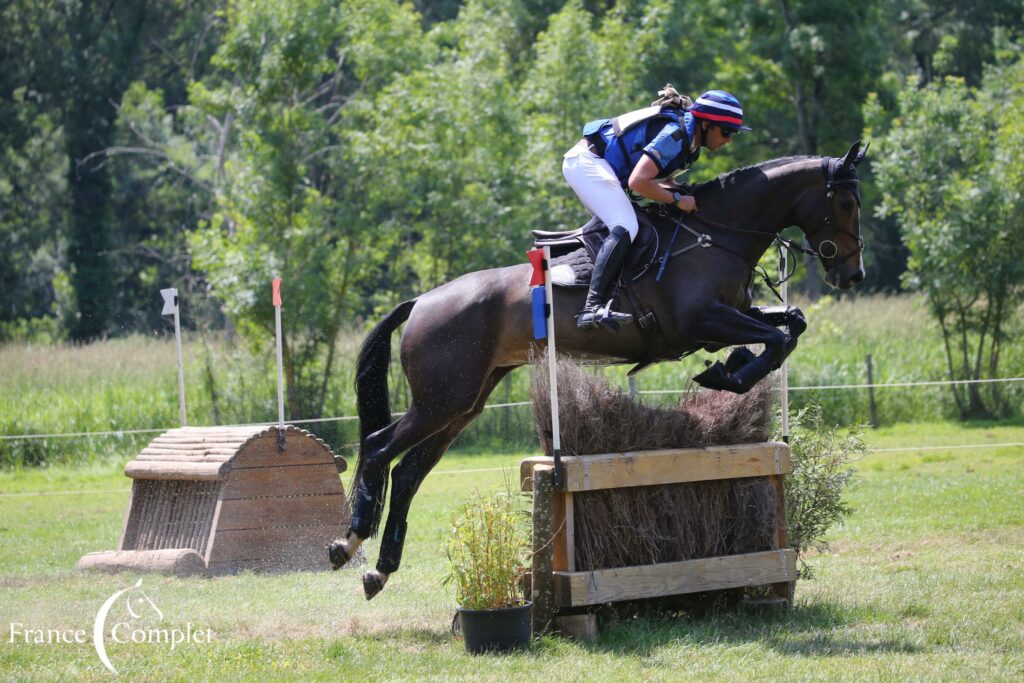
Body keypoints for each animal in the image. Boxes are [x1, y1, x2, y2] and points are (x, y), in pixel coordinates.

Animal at [331, 140, 868, 598]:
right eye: (845, 204)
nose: (852, 275)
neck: (716, 235)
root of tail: (422, 301)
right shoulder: (698, 322)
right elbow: (778, 338)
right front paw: (727, 374)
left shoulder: (728, 316)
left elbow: (791, 324)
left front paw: (732, 367)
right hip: (440, 400)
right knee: (378, 447)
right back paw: (347, 543)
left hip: (463, 403)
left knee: (408, 472)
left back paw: (380, 569)